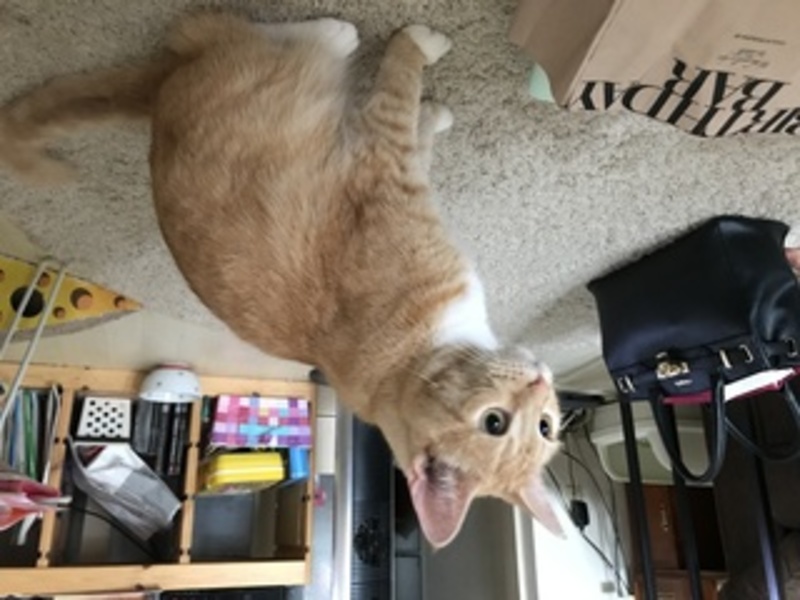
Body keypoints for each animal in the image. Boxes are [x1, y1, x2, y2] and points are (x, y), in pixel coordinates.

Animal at [0, 12, 563, 548]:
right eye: (496, 422)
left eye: (545, 425)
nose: (542, 379)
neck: (412, 357)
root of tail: (161, 96)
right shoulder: (385, 156)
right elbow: (402, 85)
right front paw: (423, 56)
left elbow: (415, 126)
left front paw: (434, 112)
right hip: (285, 64)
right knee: (236, 27)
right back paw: (338, 31)